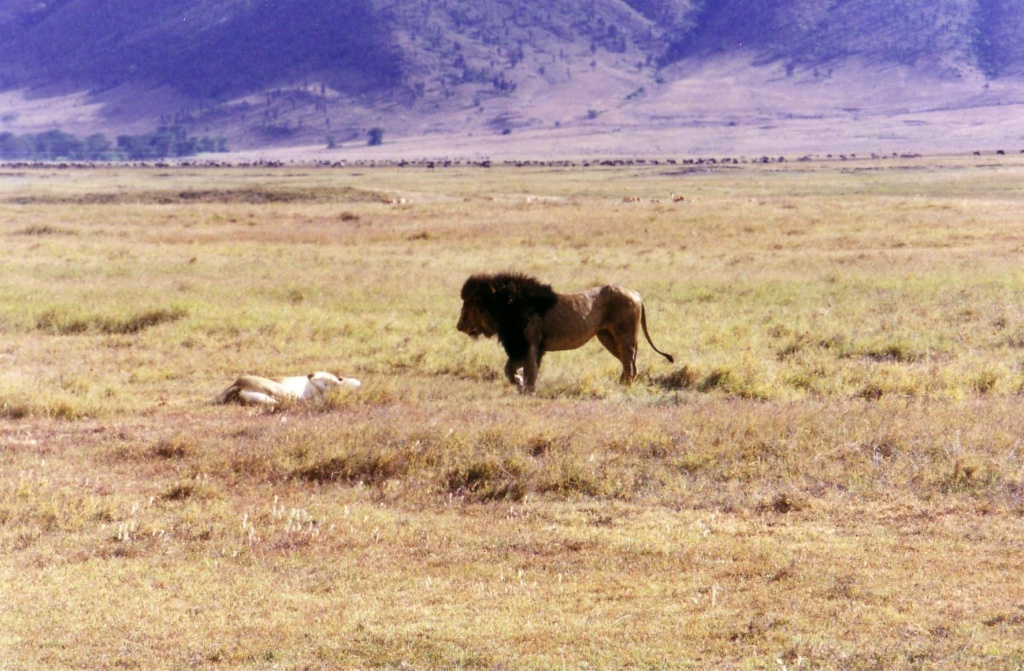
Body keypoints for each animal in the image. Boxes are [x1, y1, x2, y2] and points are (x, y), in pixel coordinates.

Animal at [456, 270, 671, 391]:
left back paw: (625, 386)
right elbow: (508, 369)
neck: (506, 308)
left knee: (629, 361)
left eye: (472, 302)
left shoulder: (530, 345)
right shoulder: (518, 347)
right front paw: (518, 382)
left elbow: (530, 371)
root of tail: (636, 293)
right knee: (630, 363)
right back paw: (622, 383)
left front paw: (528, 390)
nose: (459, 326)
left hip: (624, 336)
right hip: (607, 337)